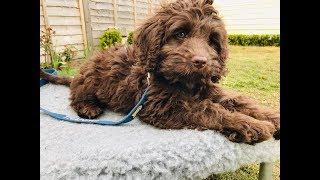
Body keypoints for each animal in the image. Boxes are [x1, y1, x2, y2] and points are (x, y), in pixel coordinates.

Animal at [40, 0, 280, 144]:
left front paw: (270, 117)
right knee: (76, 96)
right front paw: (252, 124)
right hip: (90, 78)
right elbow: (208, 109)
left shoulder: (208, 89)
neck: (184, 83)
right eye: (181, 33)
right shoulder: (161, 106)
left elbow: (238, 101)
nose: (201, 62)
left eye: (212, 40)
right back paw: (88, 108)